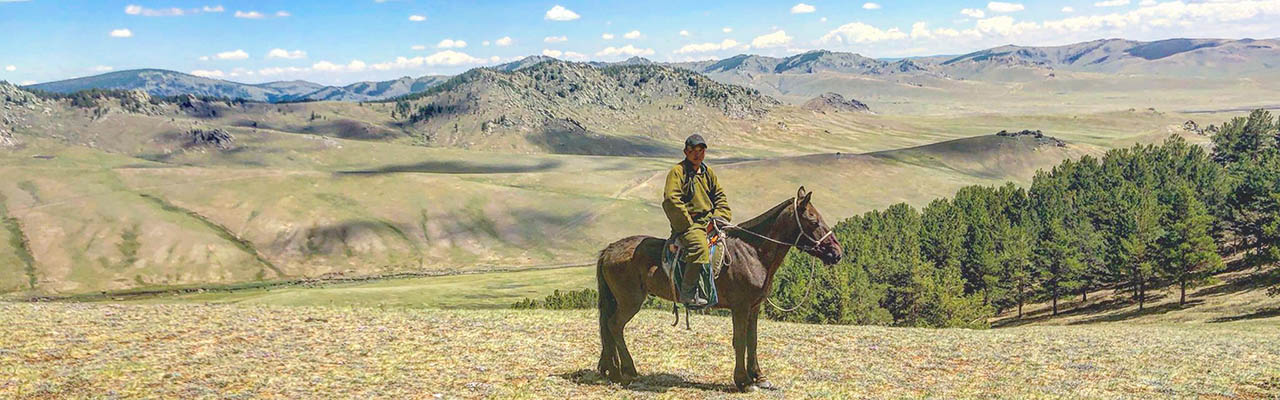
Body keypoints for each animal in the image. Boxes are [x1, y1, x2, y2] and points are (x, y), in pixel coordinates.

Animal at [593, 185, 844, 392]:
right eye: (813, 220)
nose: (836, 253)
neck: (752, 252)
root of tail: (609, 250)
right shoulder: (740, 307)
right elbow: (739, 340)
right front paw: (744, 381)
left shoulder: (754, 307)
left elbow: (752, 340)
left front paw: (759, 377)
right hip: (630, 301)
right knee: (615, 325)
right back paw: (627, 372)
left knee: (609, 327)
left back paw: (613, 371)